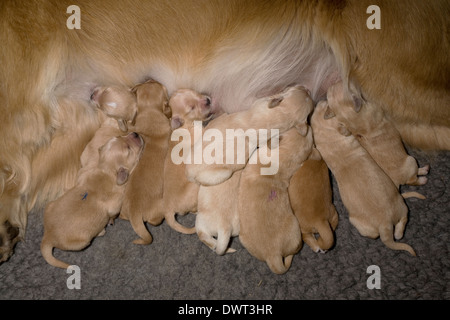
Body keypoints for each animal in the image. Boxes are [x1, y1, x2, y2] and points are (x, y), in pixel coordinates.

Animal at [41, 131, 144, 268]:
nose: (135, 133)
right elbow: (113, 214)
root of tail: (48, 236)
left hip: (49, 205)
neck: (106, 170)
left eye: (119, 136)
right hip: (82, 242)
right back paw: (101, 231)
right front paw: (111, 221)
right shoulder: (115, 205)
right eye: (128, 149)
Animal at [128, 89, 218, 244]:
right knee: (190, 209)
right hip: (194, 188)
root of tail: (168, 208)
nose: (207, 100)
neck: (183, 125)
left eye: (194, 92)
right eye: (191, 108)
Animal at [312, 101, 416, 256]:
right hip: (363, 221)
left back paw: (398, 234)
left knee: (403, 218)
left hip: (399, 205)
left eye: (319, 109)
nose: (320, 101)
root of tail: (385, 224)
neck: (330, 139)